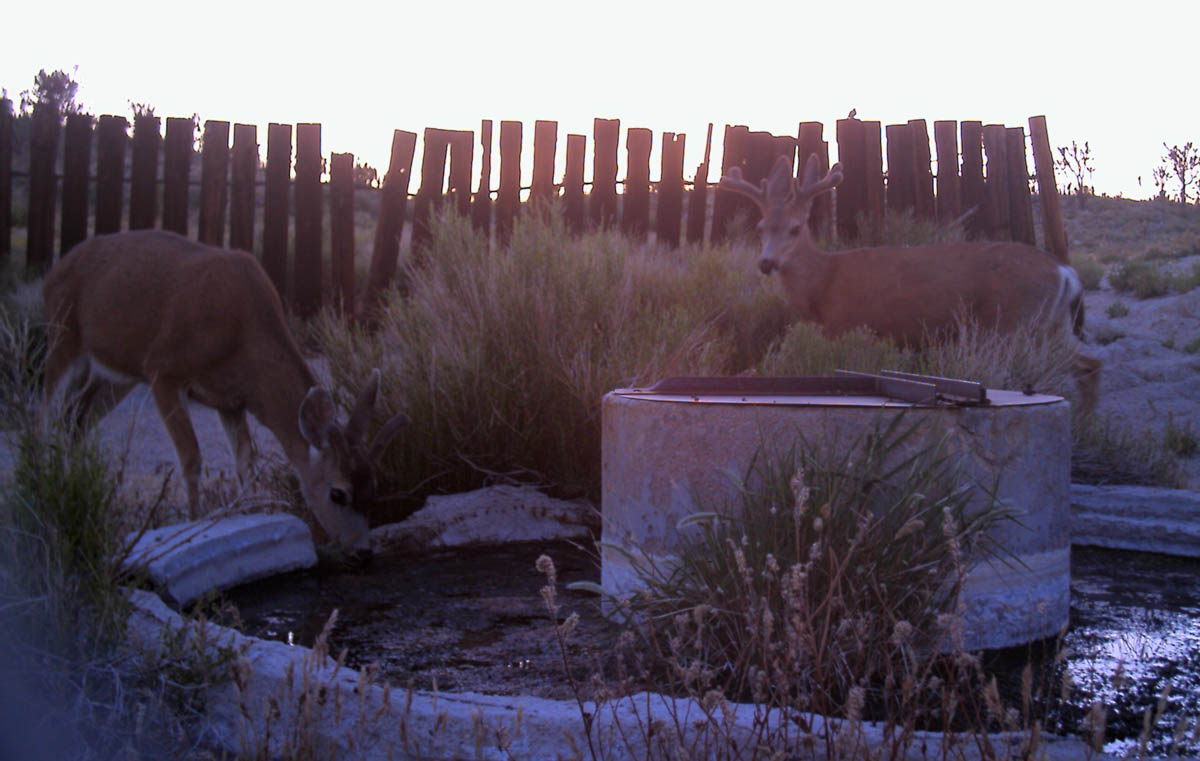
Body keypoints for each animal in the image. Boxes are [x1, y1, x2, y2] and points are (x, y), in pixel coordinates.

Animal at [42, 229, 409, 561]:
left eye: (374, 486)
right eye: (337, 493)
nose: (362, 551)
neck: (241, 330)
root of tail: (56, 270)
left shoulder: (231, 400)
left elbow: (246, 462)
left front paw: (252, 518)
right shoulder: (163, 370)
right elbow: (191, 458)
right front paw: (194, 523)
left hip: (114, 374)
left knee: (76, 418)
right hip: (63, 336)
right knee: (43, 414)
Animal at [719, 154, 1101, 413]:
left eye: (795, 229)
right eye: (761, 228)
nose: (766, 263)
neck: (823, 282)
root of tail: (1065, 272)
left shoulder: (847, 326)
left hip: (1015, 321)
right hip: (1052, 324)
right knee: (1090, 364)